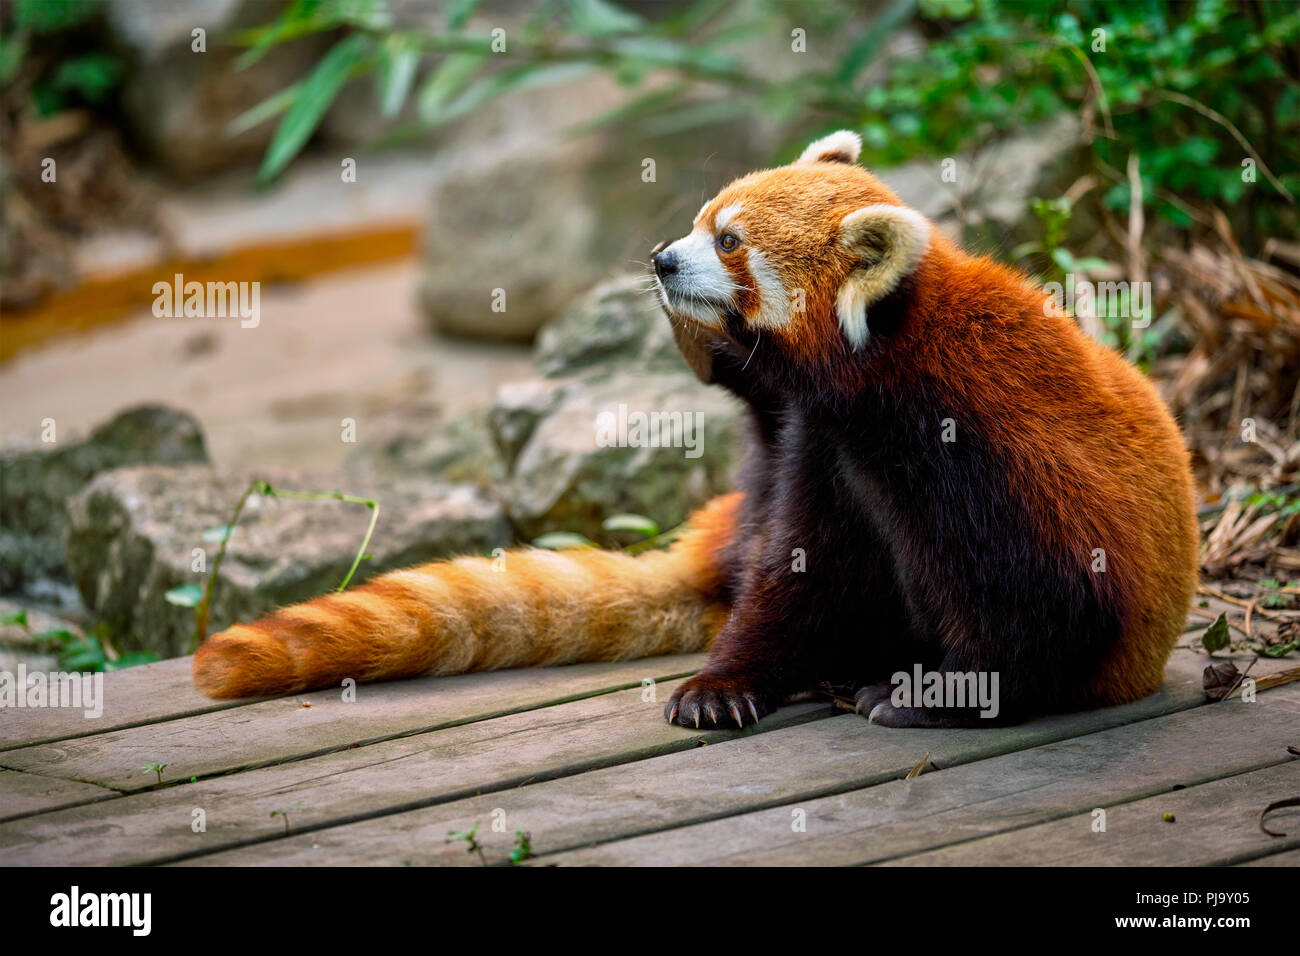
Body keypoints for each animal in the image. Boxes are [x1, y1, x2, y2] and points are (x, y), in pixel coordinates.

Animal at [192, 130, 1196, 733]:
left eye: (730, 243)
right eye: (702, 221)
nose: (661, 258)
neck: (884, 374)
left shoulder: (978, 453)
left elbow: (1039, 608)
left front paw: (937, 696)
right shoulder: (829, 453)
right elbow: (803, 575)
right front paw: (724, 686)